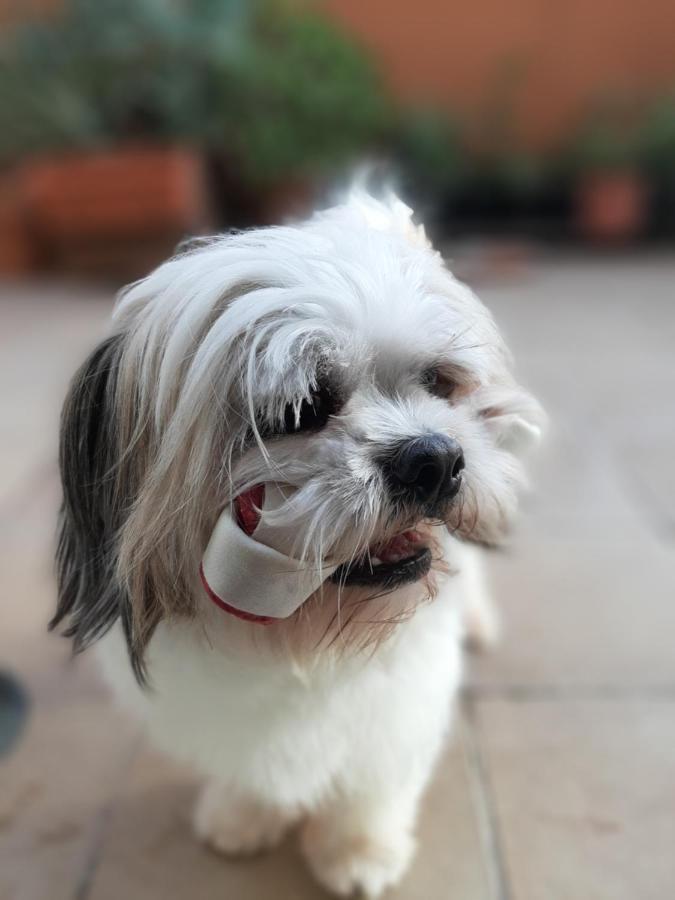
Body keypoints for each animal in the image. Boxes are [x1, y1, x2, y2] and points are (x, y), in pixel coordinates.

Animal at [52, 192, 544, 900]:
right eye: (301, 409)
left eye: (438, 383)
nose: (433, 457)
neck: (304, 645)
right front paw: (243, 815)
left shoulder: (395, 712)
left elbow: (371, 785)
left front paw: (358, 851)